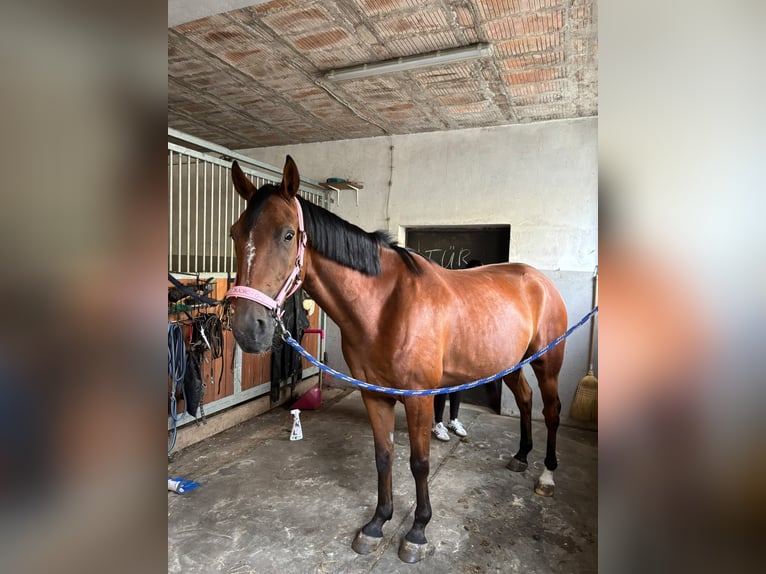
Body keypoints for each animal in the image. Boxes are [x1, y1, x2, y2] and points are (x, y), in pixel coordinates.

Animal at [225, 156, 568, 563]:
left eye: (288, 235)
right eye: (234, 234)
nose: (248, 327)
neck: (385, 306)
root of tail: (538, 279)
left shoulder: (419, 398)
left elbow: (419, 463)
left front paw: (417, 531)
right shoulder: (374, 394)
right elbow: (383, 456)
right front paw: (377, 524)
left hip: (548, 361)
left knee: (551, 410)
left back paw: (547, 475)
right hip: (509, 363)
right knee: (526, 400)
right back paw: (521, 456)